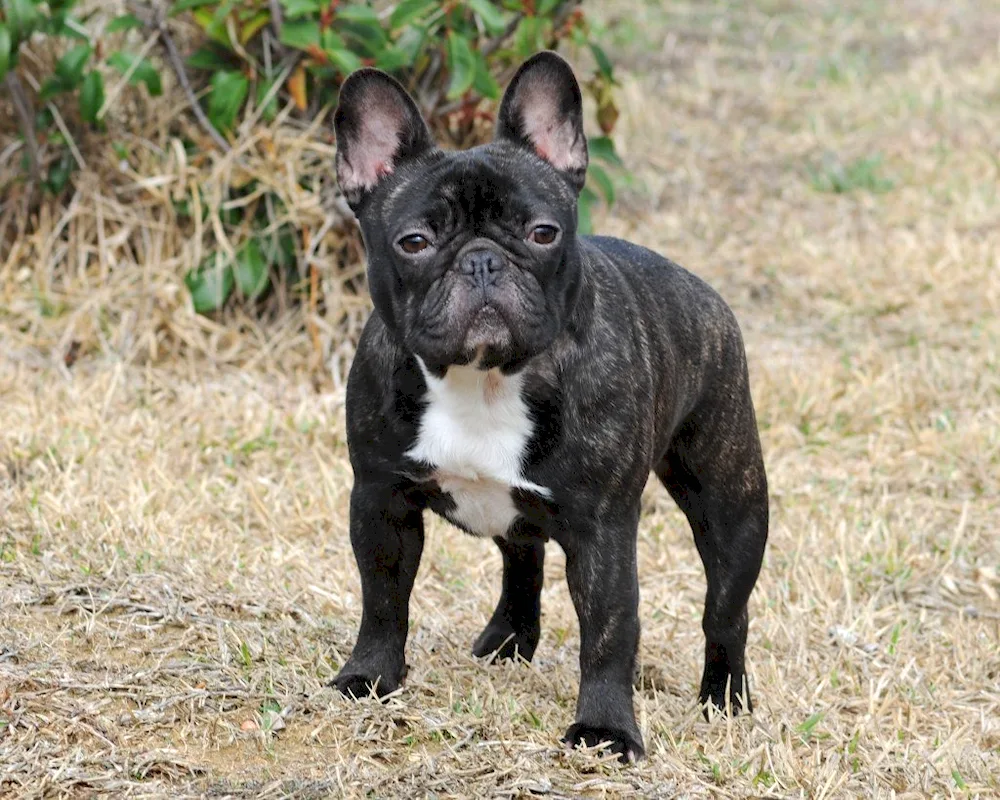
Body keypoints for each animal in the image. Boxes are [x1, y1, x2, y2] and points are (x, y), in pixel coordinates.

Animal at [328, 50, 764, 764]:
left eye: (541, 233)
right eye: (414, 242)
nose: (481, 261)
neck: (484, 379)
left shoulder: (604, 530)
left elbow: (611, 628)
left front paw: (606, 731)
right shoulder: (380, 498)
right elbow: (383, 598)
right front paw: (368, 678)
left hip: (730, 500)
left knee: (726, 607)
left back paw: (723, 697)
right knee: (521, 558)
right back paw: (507, 642)